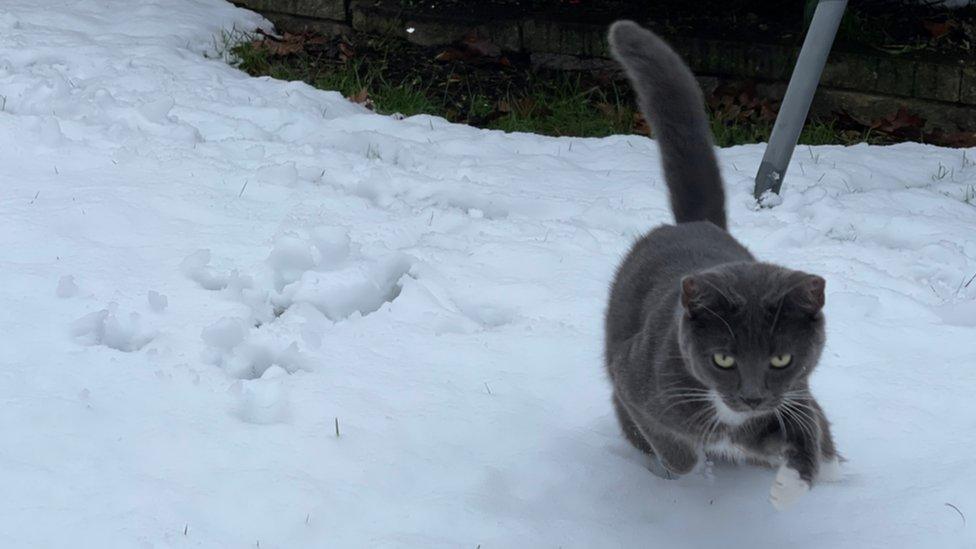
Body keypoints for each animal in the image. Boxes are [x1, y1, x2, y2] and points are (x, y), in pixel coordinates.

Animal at [604, 21, 840, 510]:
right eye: (724, 359)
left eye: (781, 358)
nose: (751, 397)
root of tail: (695, 223)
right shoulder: (636, 376)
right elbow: (677, 448)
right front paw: (695, 469)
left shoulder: (795, 393)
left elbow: (804, 429)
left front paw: (789, 484)